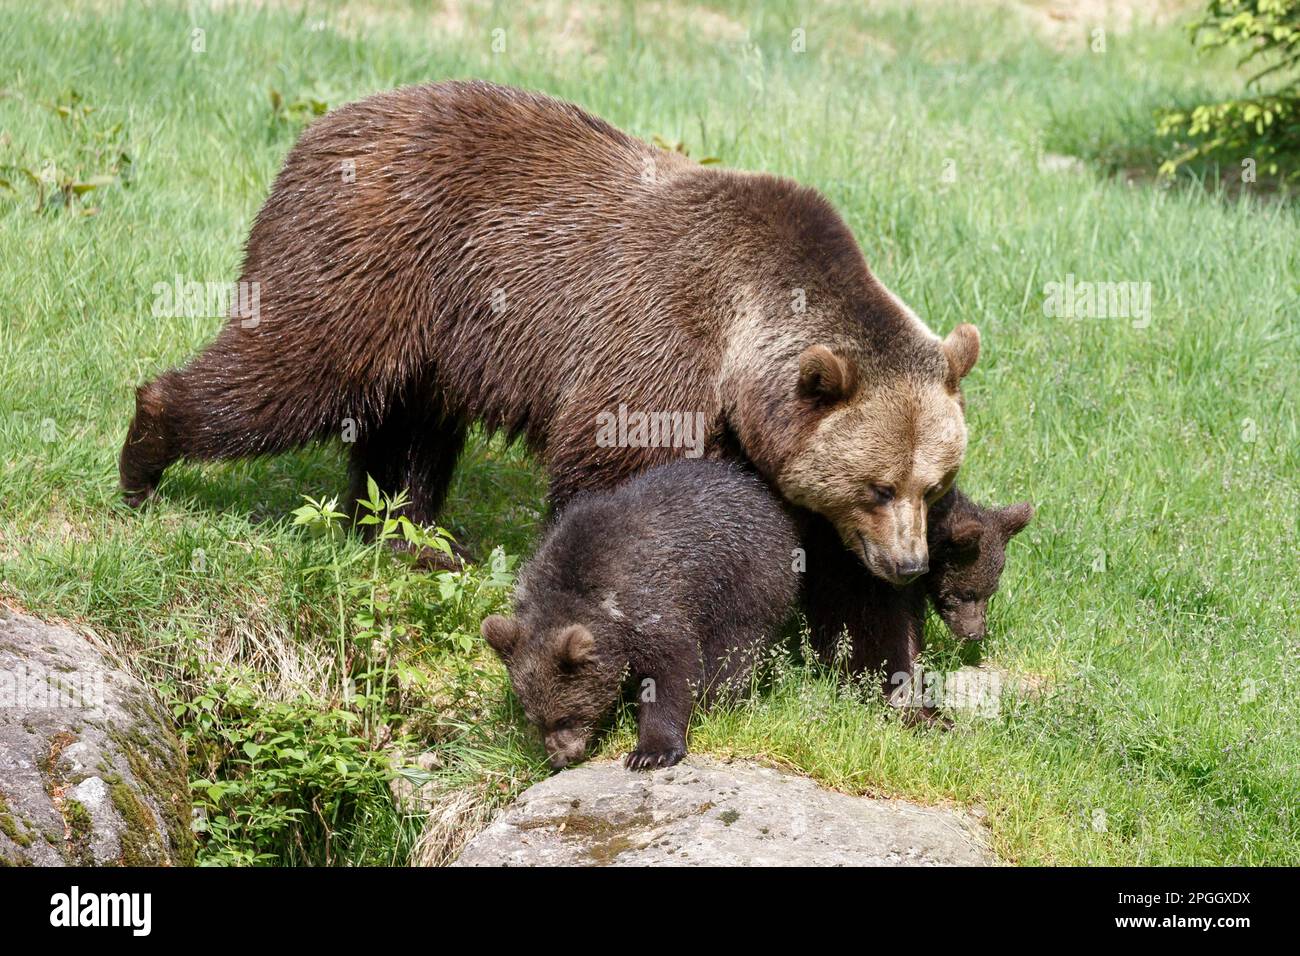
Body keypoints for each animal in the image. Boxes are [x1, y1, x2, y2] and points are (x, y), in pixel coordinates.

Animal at [122, 80, 977, 697]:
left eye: (932, 484)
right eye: (876, 485)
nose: (907, 563)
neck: (740, 357)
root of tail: (323, 125)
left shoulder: (793, 463)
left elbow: (841, 581)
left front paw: (902, 686)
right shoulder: (658, 353)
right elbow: (607, 486)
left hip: (434, 336)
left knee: (412, 432)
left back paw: (414, 537)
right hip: (372, 259)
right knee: (293, 370)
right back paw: (145, 458)